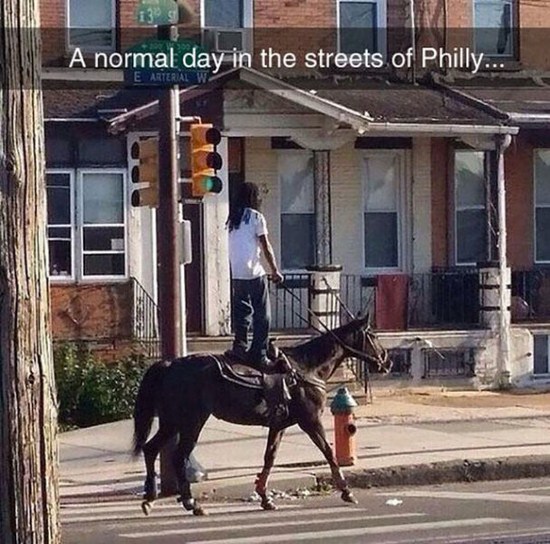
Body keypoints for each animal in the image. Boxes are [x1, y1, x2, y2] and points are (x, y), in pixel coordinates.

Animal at [133, 312, 392, 516]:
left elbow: (270, 457)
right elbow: (329, 453)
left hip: (171, 421)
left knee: (151, 448)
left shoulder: (279, 425)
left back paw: (150, 499)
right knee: (178, 457)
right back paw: (191, 503)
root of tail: (169, 365)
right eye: (373, 335)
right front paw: (346, 491)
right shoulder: (310, 421)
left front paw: (265, 497)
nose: (387, 362)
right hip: (191, 421)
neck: (307, 368)